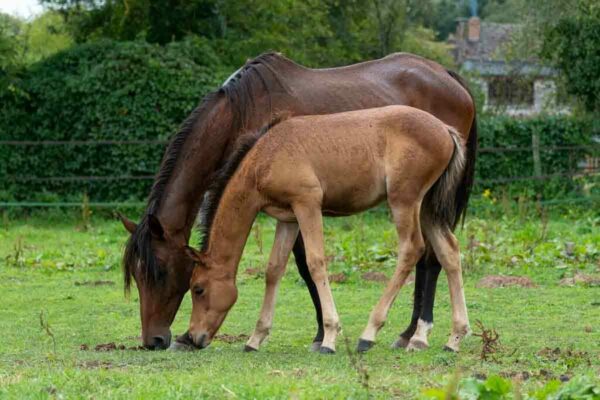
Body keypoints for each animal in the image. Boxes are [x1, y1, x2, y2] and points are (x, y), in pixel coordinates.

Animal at [180, 105, 472, 354]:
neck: (266, 156)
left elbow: (316, 262)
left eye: (198, 289)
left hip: (404, 201)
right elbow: (274, 269)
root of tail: (445, 129)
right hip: (428, 208)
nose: (194, 337)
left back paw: (369, 334)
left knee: (412, 250)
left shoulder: (307, 204)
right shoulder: (288, 218)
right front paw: (256, 337)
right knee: (449, 251)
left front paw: (329, 337)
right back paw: (453, 337)